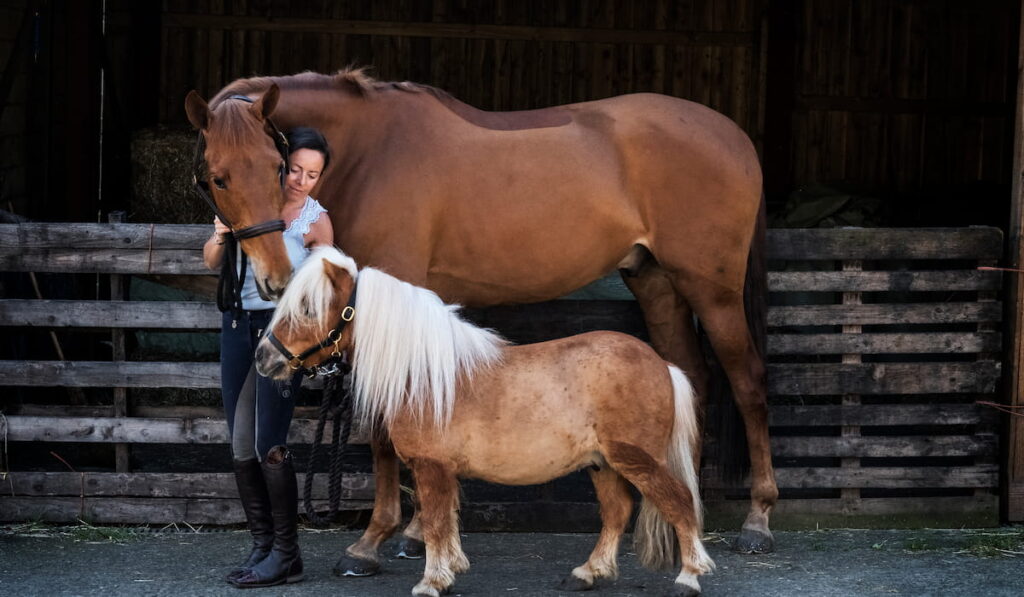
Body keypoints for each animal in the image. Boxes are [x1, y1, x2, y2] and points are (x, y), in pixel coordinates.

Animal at [252, 245, 716, 593]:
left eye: (308, 307)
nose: (263, 358)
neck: (425, 373)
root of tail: (662, 365)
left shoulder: (431, 466)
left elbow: (435, 522)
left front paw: (431, 582)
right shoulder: (440, 470)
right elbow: (445, 520)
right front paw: (450, 569)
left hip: (637, 460)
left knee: (680, 502)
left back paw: (689, 577)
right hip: (602, 464)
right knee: (617, 512)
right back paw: (587, 573)